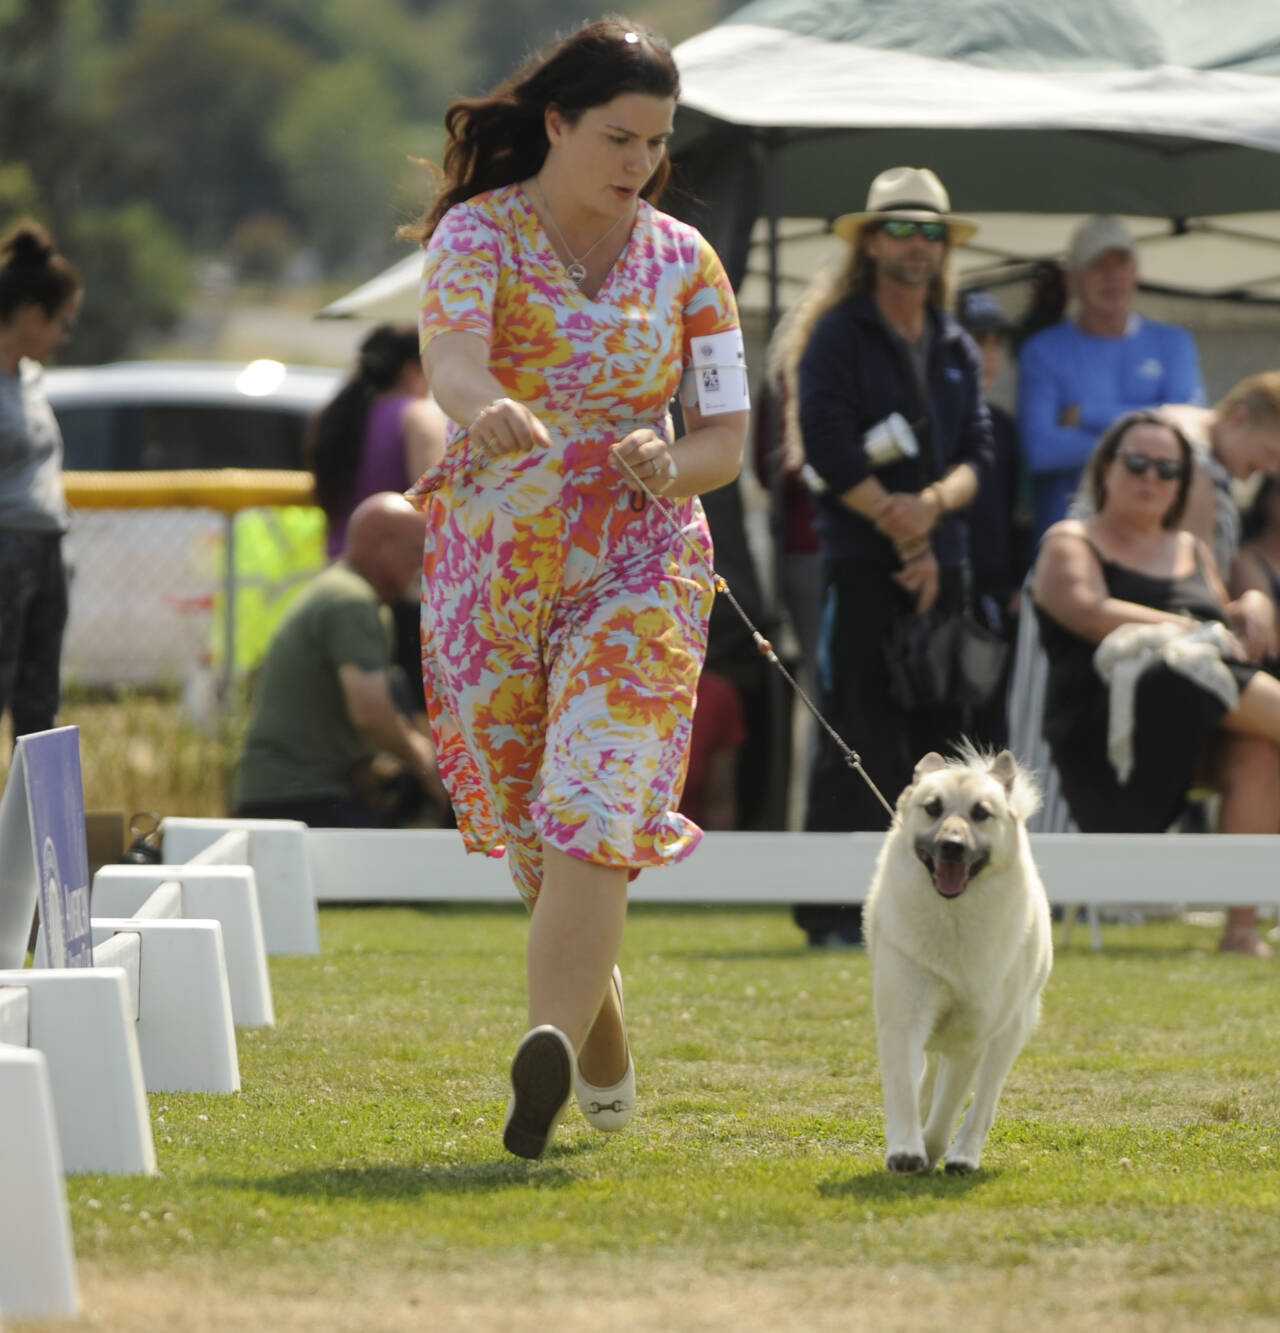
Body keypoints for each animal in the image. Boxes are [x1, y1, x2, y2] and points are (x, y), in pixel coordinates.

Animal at [858, 751, 1050, 1178]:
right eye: (933, 808)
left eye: (981, 813)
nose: (951, 846)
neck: (953, 916)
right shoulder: (904, 1016)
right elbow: (904, 1088)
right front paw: (905, 1150)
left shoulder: (971, 1038)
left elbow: (949, 1106)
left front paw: (930, 1149)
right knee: (927, 1076)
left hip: (1010, 1033)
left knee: (983, 1102)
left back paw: (964, 1155)